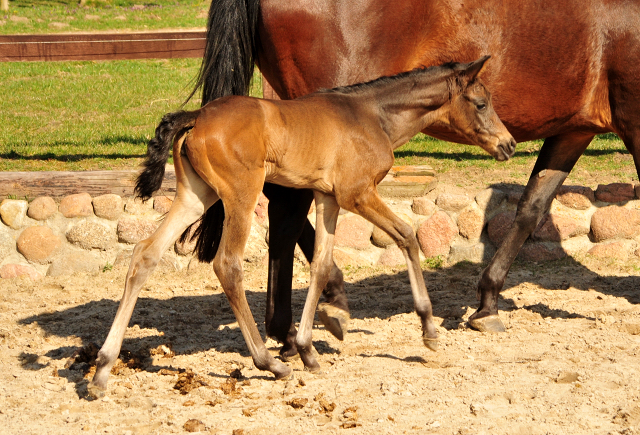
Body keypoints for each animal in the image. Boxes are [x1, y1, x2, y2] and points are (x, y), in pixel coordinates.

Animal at [87, 55, 516, 398]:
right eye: (481, 103)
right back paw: (270, 363)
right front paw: (428, 328)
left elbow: (322, 265)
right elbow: (407, 236)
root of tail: (198, 116)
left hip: (196, 195)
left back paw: (103, 369)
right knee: (227, 265)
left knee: (145, 254)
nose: (509, 144)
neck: (371, 115)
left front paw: (310, 349)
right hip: (241, 195)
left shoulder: (327, 198)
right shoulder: (357, 194)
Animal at [186, 0, 640, 350]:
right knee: (286, 211)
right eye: (480, 103)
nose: (508, 144)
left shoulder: (575, 129)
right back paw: (313, 313)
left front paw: (487, 303)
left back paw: (293, 323)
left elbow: (532, 206)